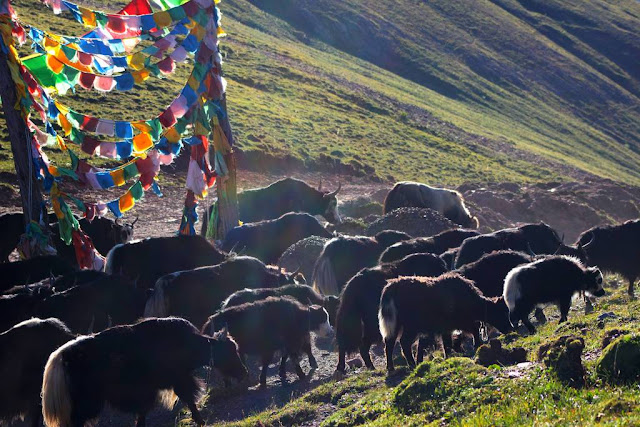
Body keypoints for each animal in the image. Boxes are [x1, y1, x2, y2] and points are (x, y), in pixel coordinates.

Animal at [42, 317, 247, 427]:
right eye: (231, 350)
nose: (244, 372)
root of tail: (62, 356)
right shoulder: (178, 379)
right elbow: (189, 398)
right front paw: (201, 421)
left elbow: (142, 413)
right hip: (86, 403)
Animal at [202, 297, 332, 386]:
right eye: (322, 318)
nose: (331, 332)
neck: (297, 317)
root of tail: (208, 324)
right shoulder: (276, 346)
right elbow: (277, 360)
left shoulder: (286, 343)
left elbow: (285, 356)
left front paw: (282, 373)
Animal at [379, 273, 513, 371]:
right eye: (501, 312)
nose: (510, 328)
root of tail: (391, 288)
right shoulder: (459, 323)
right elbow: (469, 333)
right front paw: (474, 346)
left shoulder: (446, 328)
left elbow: (447, 343)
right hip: (410, 326)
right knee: (404, 343)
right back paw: (411, 365)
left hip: (396, 325)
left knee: (389, 343)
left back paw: (391, 368)